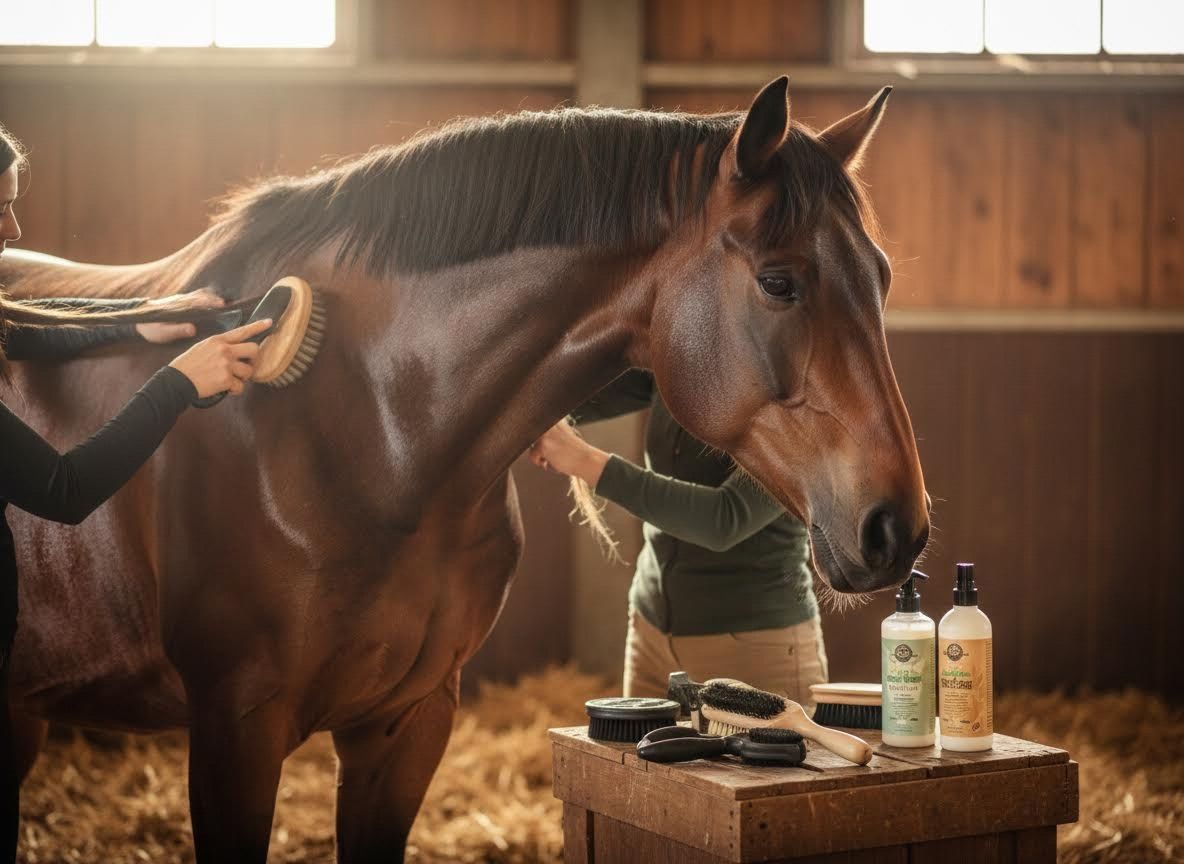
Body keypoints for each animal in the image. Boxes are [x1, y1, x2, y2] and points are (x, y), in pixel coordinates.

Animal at [0, 77, 929, 862]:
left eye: (882, 276)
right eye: (779, 281)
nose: (898, 528)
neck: (369, 431)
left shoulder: (407, 725)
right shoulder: (237, 729)